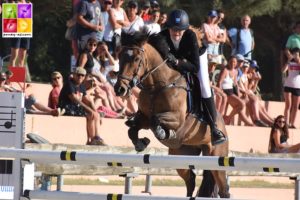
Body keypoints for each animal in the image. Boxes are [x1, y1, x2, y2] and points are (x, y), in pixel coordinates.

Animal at [114, 32, 230, 198]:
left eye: (136, 59)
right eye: (120, 56)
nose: (119, 89)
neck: (157, 86)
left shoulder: (178, 119)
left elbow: (156, 120)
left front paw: (164, 133)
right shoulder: (143, 118)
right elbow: (133, 129)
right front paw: (141, 143)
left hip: (217, 157)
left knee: (223, 189)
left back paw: (217, 135)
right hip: (182, 157)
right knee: (191, 180)